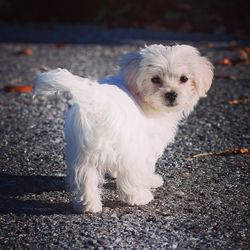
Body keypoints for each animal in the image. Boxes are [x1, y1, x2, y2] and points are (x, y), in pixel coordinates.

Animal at [34, 44, 213, 213]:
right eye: (155, 79)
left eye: (184, 78)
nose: (171, 94)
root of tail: (98, 103)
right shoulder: (147, 144)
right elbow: (147, 167)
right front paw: (151, 180)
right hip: (129, 150)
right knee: (130, 177)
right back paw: (139, 197)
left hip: (82, 153)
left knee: (84, 178)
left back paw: (88, 206)